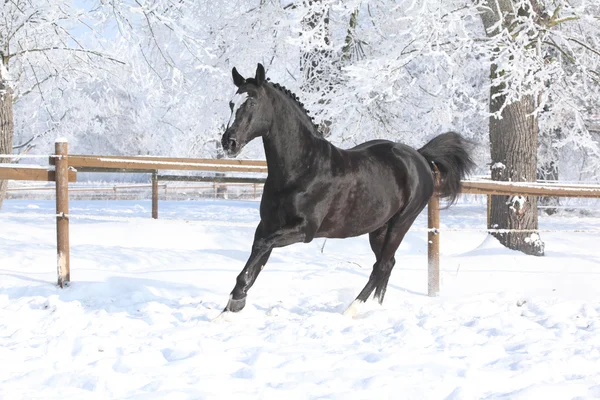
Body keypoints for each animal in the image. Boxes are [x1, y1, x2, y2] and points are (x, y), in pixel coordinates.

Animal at [219, 64, 474, 318]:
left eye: (252, 103)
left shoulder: (304, 230)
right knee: (387, 264)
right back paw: (375, 306)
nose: (228, 142)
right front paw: (228, 309)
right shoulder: (268, 224)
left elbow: (261, 247)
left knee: (382, 265)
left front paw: (236, 299)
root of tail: (420, 156)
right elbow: (258, 257)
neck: (302, 169)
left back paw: (352, 309)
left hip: (401, 223)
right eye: (231, 103)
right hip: (379, 228)